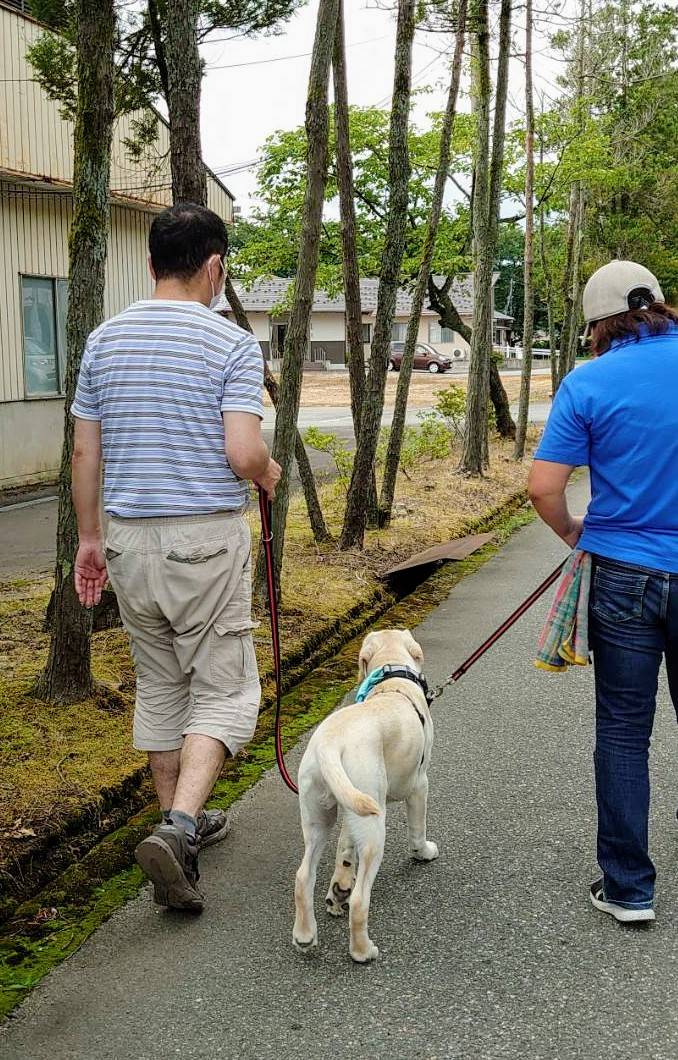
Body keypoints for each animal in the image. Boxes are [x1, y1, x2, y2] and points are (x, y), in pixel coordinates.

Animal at [292, 627, 440, 962]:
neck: (391, 681)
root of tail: (329, 744)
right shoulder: (419, 784)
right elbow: (417, 829)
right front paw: (423, 852)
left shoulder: (350, 812)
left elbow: (345, 849)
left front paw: (339, 888)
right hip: (374, 826)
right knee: (360, 900)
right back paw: (362, 951)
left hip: (322, 815)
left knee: (303, 877)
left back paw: (305, 935)